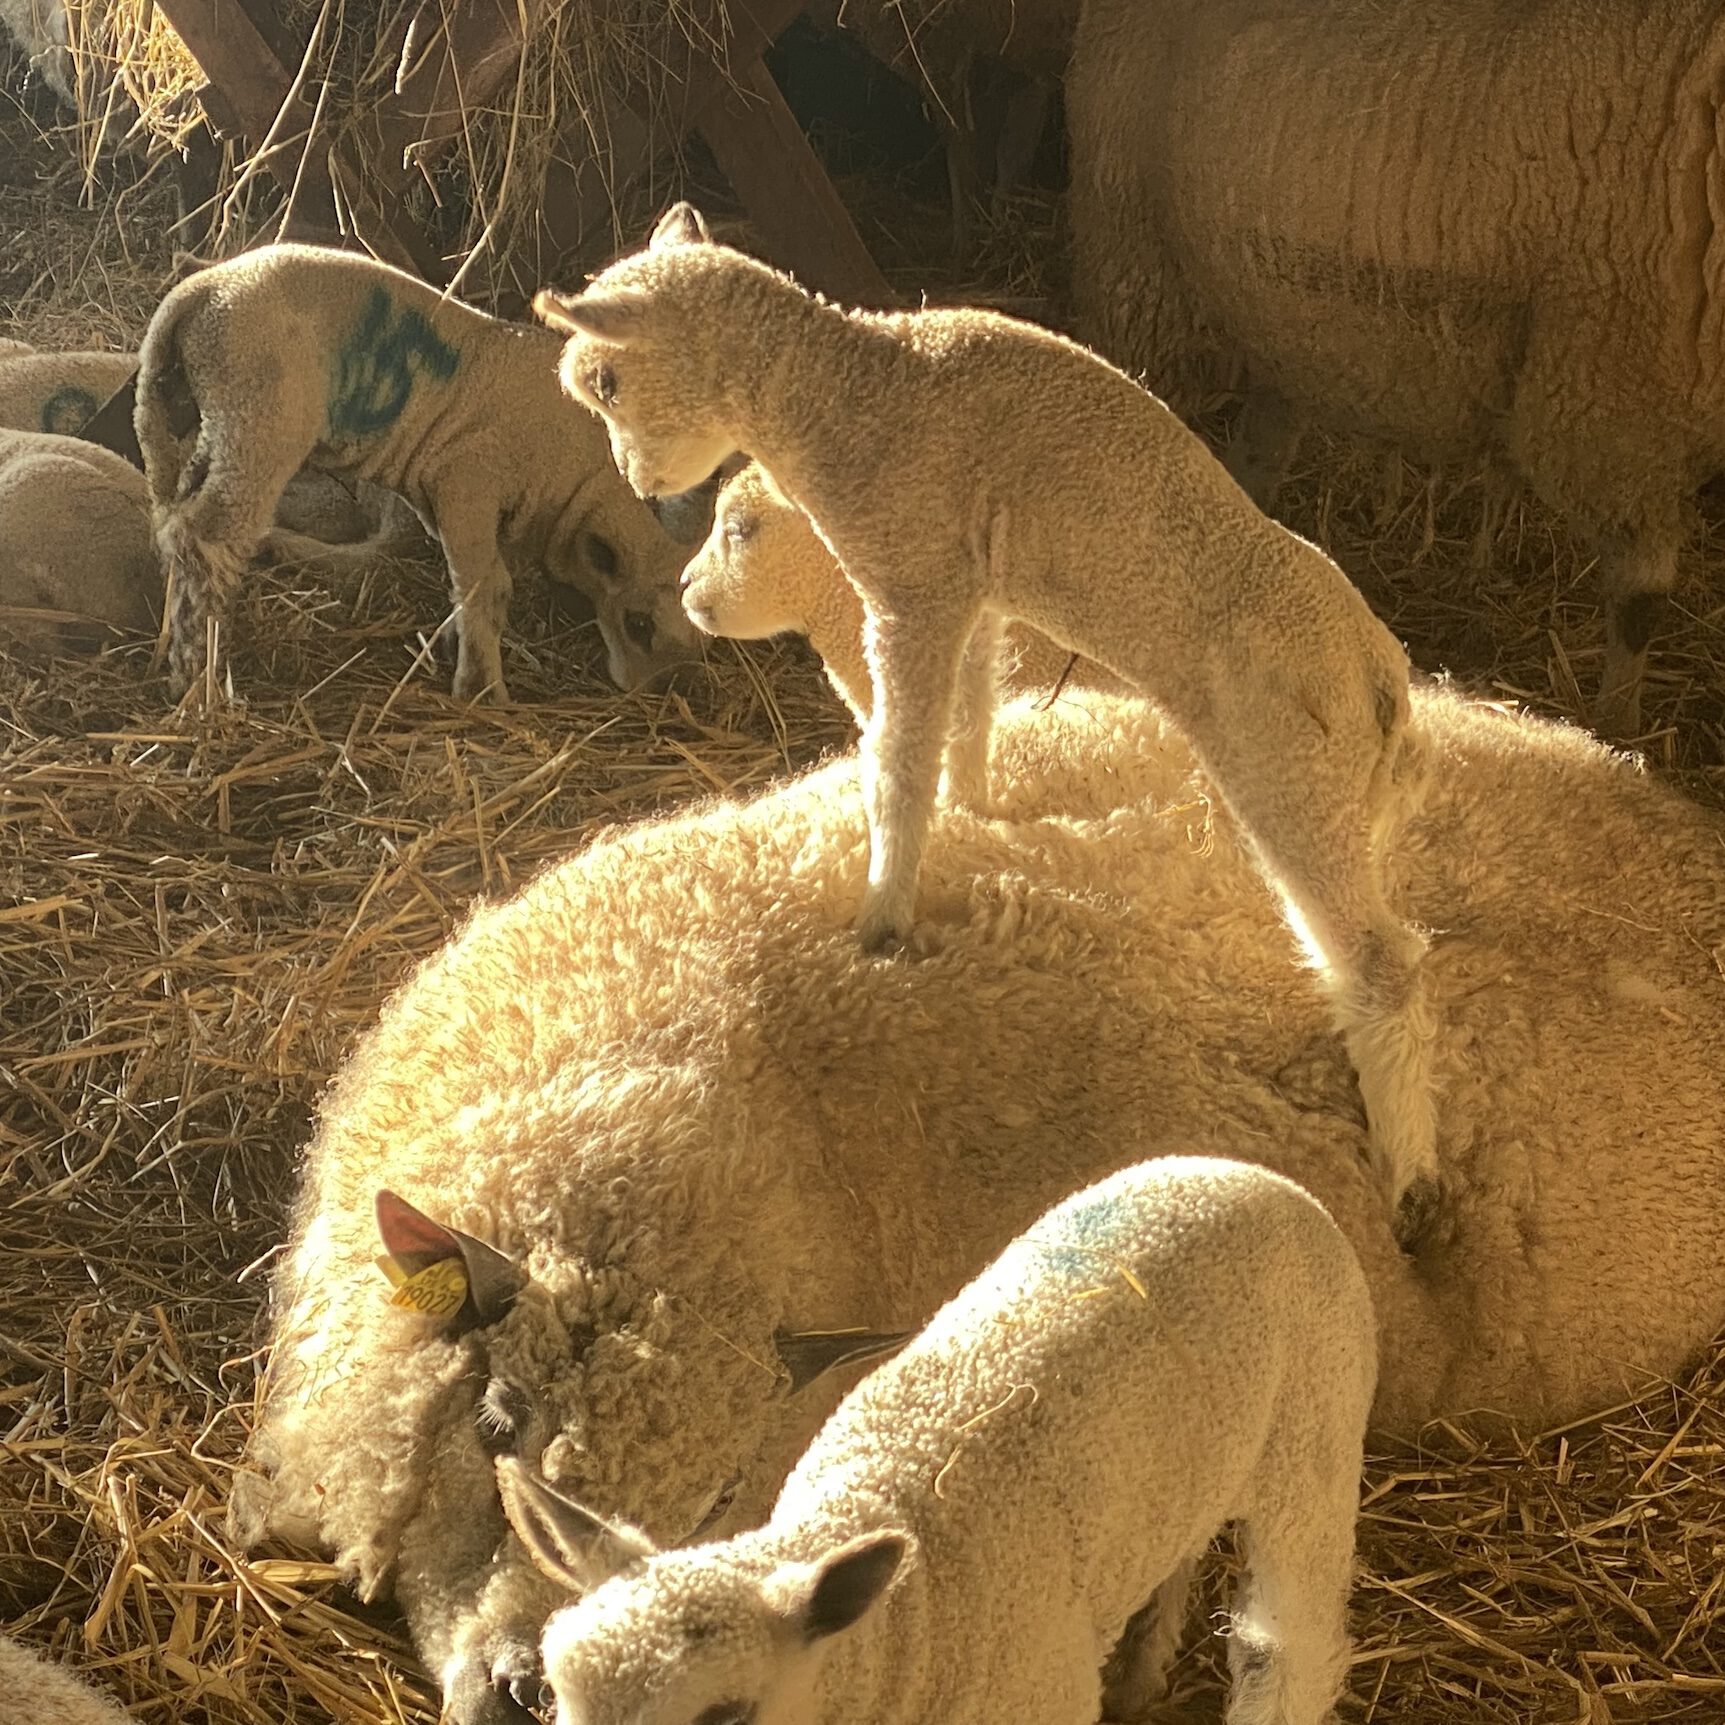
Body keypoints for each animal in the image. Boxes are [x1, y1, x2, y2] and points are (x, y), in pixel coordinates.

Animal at [133, 242, 704, 702]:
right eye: (638, 622)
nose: (654, 692)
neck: (573, 479)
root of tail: (202, 291)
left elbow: (469, 578)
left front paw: (454, 642)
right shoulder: (467, 480)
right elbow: (487, 586)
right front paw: (481, 691)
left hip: (182, 414)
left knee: (172, 524)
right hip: (259, 419)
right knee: (208, 540)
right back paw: (200, 681)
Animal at [505, 1156, 1377, 1725]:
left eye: (724, 1714)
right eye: (555, 1692)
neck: (904, 1628)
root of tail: (1249, 1172)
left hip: (1317, 1419)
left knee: (1289, 1640)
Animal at [1064, 0, 1725, 739]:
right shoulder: (1612, 412)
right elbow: (1640, 603)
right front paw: (1619, 727)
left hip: (1280, 327)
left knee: (1258, 452)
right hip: (1137, 264)